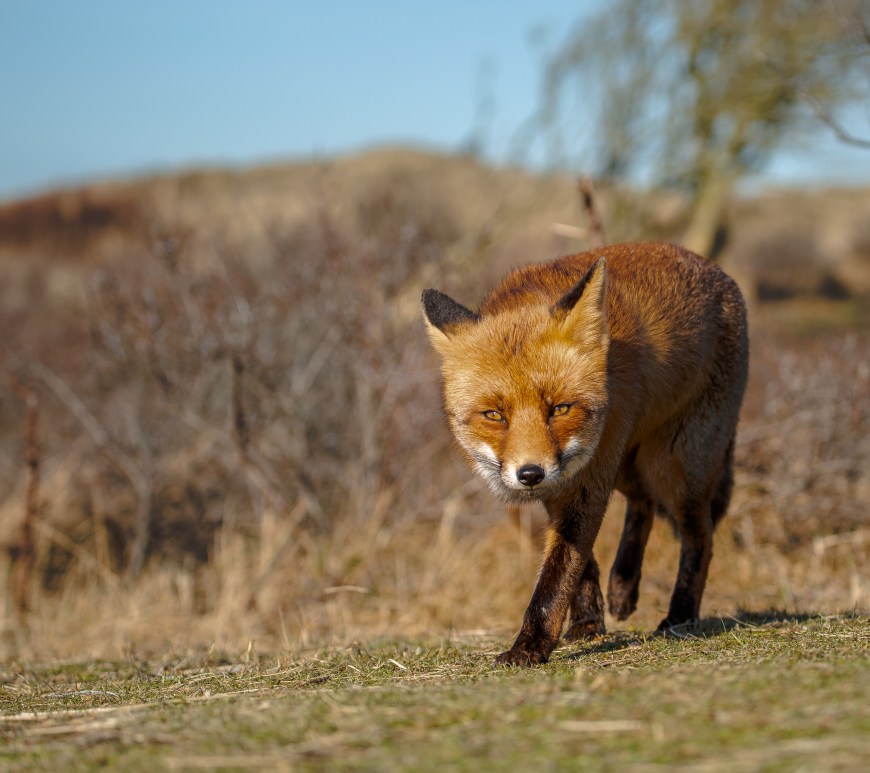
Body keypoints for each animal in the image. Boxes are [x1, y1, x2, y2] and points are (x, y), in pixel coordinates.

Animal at [422, 242, 748, 666]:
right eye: (494, 415)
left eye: (560, 409)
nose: (530, 474)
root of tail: (716, 270)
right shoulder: (563, 484)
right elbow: (579, 563)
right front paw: (588, 623)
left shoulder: (586, 482)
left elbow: (557, 577)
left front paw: (530, 647)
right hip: (629, 465)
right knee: (642, 505)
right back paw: (624, 585)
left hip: (673, 468)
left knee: (700, 536)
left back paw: (680, 616)